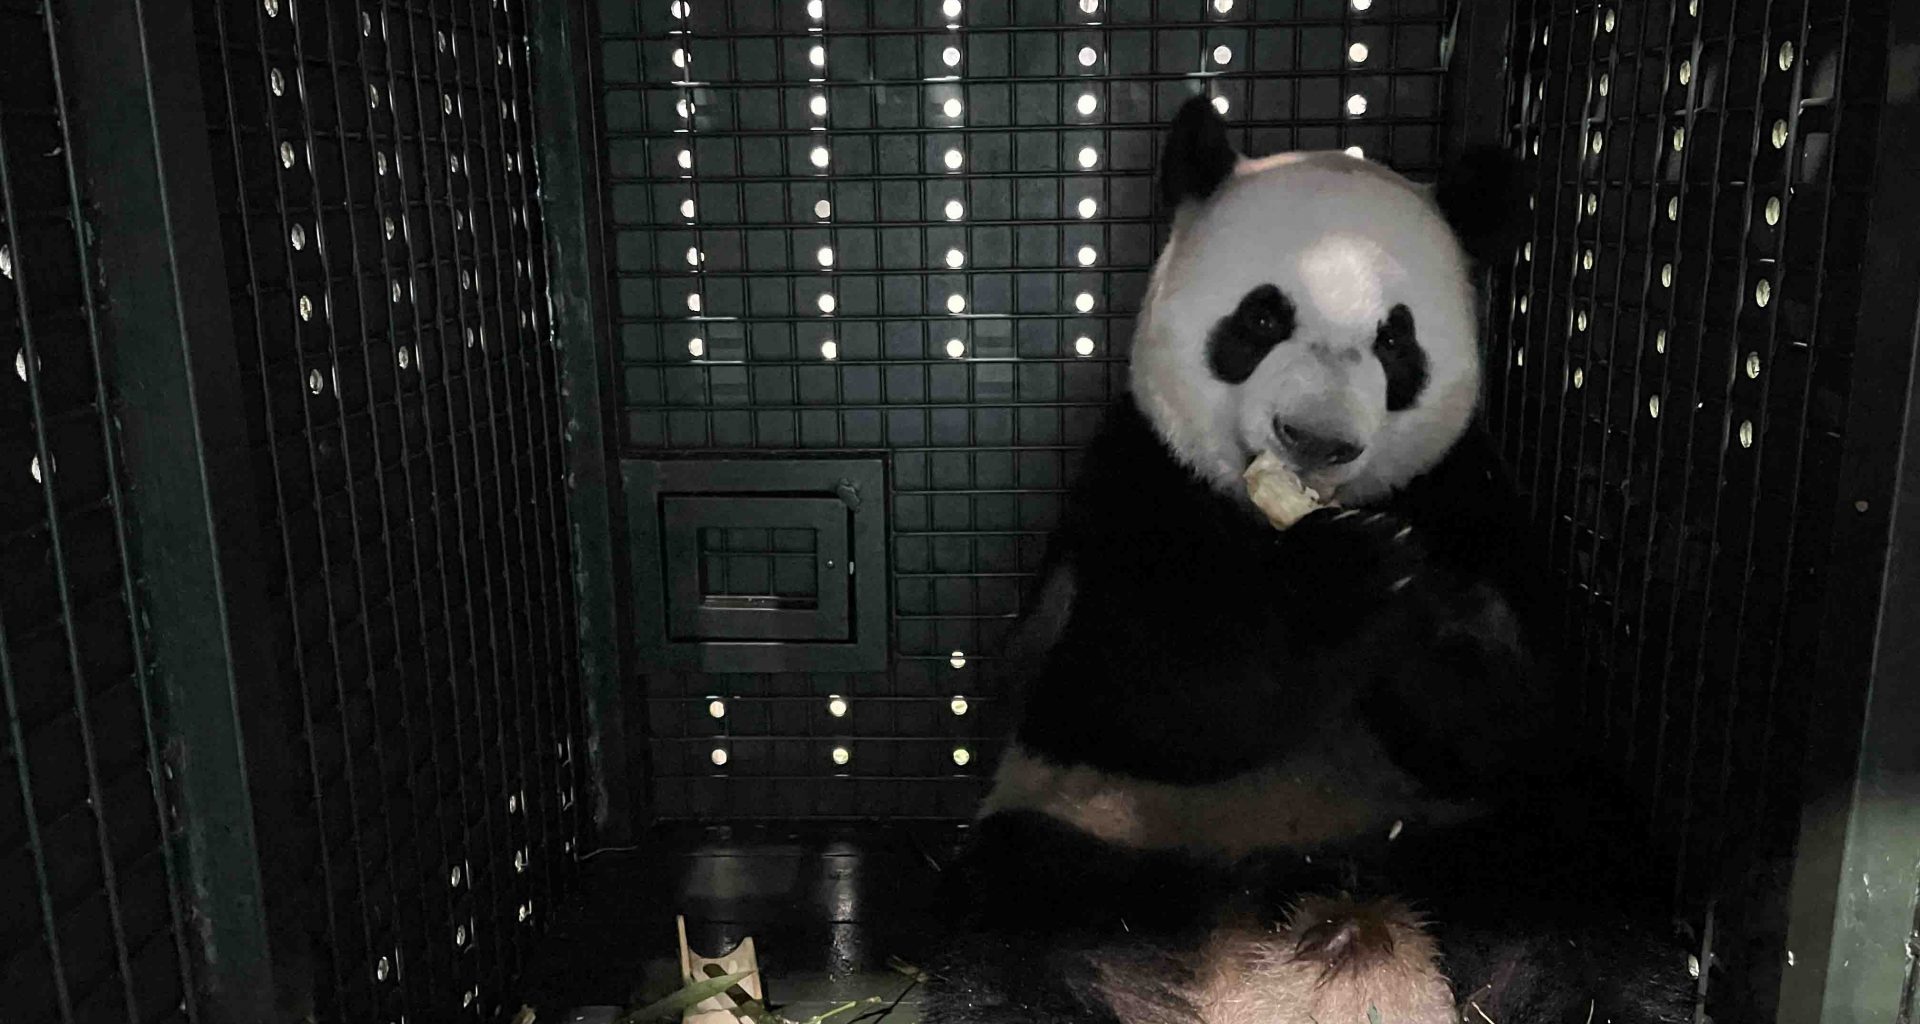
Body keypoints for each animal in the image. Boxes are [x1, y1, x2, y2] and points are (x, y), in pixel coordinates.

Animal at [922, 97, 1697, 1024]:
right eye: (1262, 319)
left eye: (1396, 341)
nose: (1317, 440)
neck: (1274, 513)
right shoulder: (1133, 482)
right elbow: (1111, 690)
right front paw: (1338, 586)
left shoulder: (1470, 494)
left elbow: (1526, 715)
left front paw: (1427, 607)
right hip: (1098, 845)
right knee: (1015, 932)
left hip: (1480, 842)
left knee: (1593, 890)